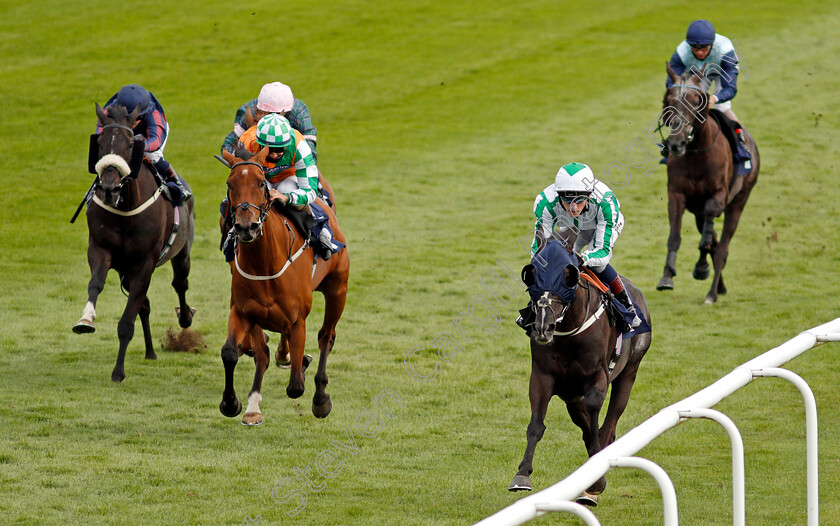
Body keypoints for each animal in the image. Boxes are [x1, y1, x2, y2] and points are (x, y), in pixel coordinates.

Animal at [72, 104, 197, 384]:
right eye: (100, 143)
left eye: (130, 144)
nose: (108, 188)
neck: (125, 208)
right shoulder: (100, 250)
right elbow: (95, 284)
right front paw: (86, 319)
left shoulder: (144, 263)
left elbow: (126, 324)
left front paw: (118, 372)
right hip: (125, 271)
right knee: (145, 305)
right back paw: (150, 351)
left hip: (181, 252)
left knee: (179, 284)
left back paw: (185, 318)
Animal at [218, 146, 350, 426]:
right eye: (230, 184)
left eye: (261, 183)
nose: (246, 226)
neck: (265, 264)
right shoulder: (244, 311)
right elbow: (233, 352)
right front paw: (234, 403)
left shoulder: (298, 320)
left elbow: (295, 386)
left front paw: (307, 378)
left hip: (338, 290)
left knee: (326, 336)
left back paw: (320, 397)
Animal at [508, 242, 652, 508]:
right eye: (534, 286)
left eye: (565, 285)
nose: (543, 328)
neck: (569, 332)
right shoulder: (543, 377)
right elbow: (536, 425)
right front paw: (522, 474)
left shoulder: (598, 378)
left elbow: (597, 425)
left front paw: (596, 483)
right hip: (571, 396)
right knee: (587, 427)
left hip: (629, 371)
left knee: (608, 427)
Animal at [656, 64, 760, 304]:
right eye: (670, 99)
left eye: (696, 101)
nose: (676, 144)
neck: (696, 154)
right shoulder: (677, 195)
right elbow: (675, 237)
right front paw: (667, 276)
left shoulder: (718, 196)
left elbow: (707, 243)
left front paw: (701, 268)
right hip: (698, 212)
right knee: (715, 242)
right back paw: (719, 287)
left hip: (739, 201)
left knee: (722, 248)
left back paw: (712, 293)